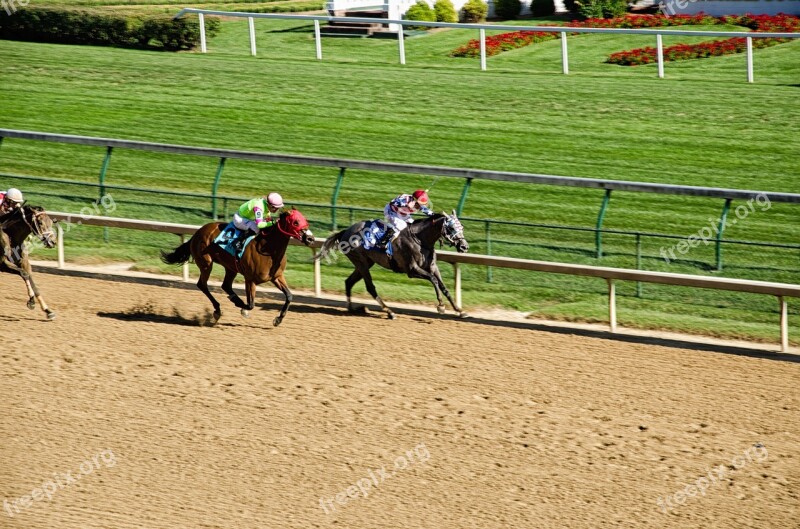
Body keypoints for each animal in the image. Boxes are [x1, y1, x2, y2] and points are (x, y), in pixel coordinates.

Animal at [159, 207, 312, 324]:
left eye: (306, 220)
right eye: (296, 222)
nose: (310, 238)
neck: (268, 249)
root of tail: (197, 232)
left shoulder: (277, 277)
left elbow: (289, 296)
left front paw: (278, 319)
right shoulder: (250, 279)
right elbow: (250, 304)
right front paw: (242, 308)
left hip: (231, 267)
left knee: (225, 285)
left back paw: (231, 299)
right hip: (206, 263)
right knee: (202, 284)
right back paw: (218, 309)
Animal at [316, 210, 468, 318]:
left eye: (461, 227)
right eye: (451, 228)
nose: (464, 246)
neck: (420, 239)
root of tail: (345, 232)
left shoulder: (432, 267)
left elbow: (443, 287)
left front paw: (459, 310)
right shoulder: (412, 270)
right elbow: (433, 280)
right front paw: (441, 306)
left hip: (365, 263)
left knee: (349, 282)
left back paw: (352, 308)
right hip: (361, 262)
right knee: (370, 287)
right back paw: (389, 311)